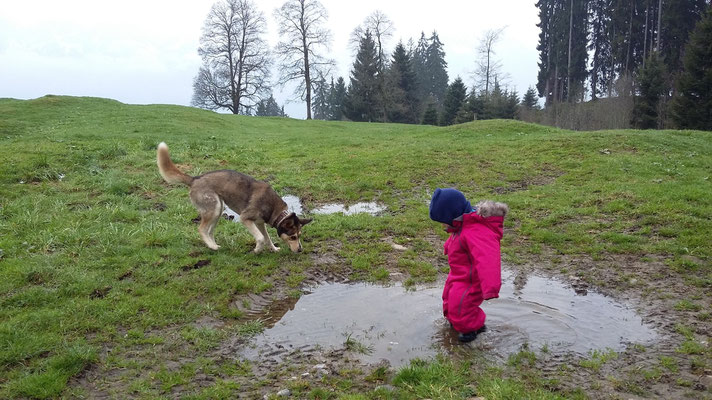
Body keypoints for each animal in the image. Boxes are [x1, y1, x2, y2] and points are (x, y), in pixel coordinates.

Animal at [156, 142, 312, 252]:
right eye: (293, 236)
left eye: (300, 236)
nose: (300, 250)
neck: (274, 208)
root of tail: (195, 179)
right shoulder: (245, 218)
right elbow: (261, 238)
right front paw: (257, 250)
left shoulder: (259, 223)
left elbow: (267, 238)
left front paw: (273, 249)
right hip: (213, 208)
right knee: (202, 229)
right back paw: (212, 247)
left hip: (218, 210)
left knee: (209, 231)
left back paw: (213, 244)